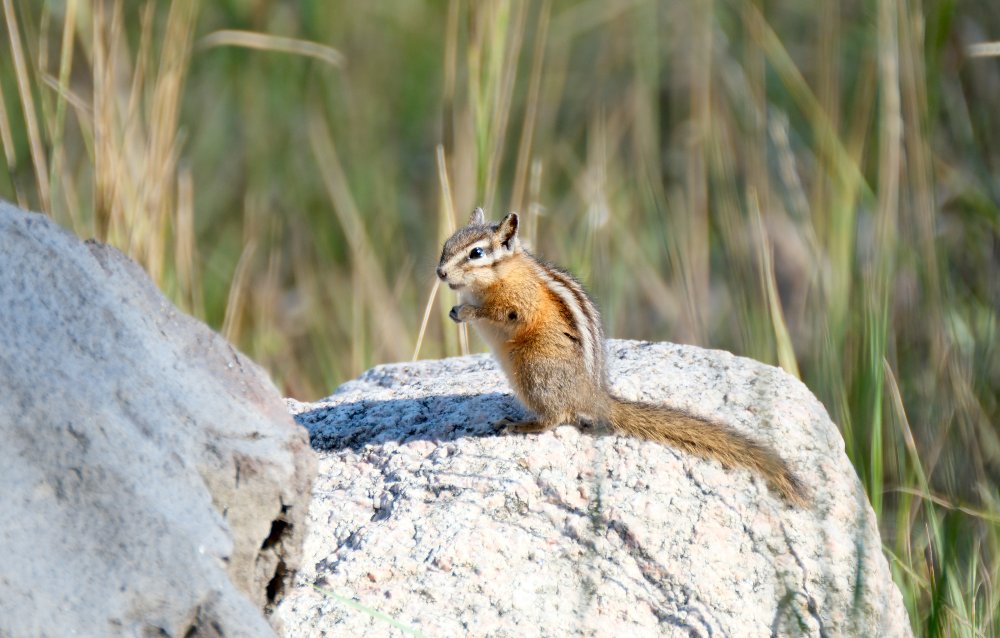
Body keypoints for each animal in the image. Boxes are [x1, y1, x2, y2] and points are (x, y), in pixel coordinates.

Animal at [436, 207, 806, 506]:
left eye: (476, 253)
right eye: (447, 243)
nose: (440, 273)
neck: (503, 271)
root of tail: (592, 394)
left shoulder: (519, 300)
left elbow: (503, 312)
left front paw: (466, 311)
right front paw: (455, 310)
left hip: (532, 369)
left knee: (557, 417)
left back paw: (520, 424)